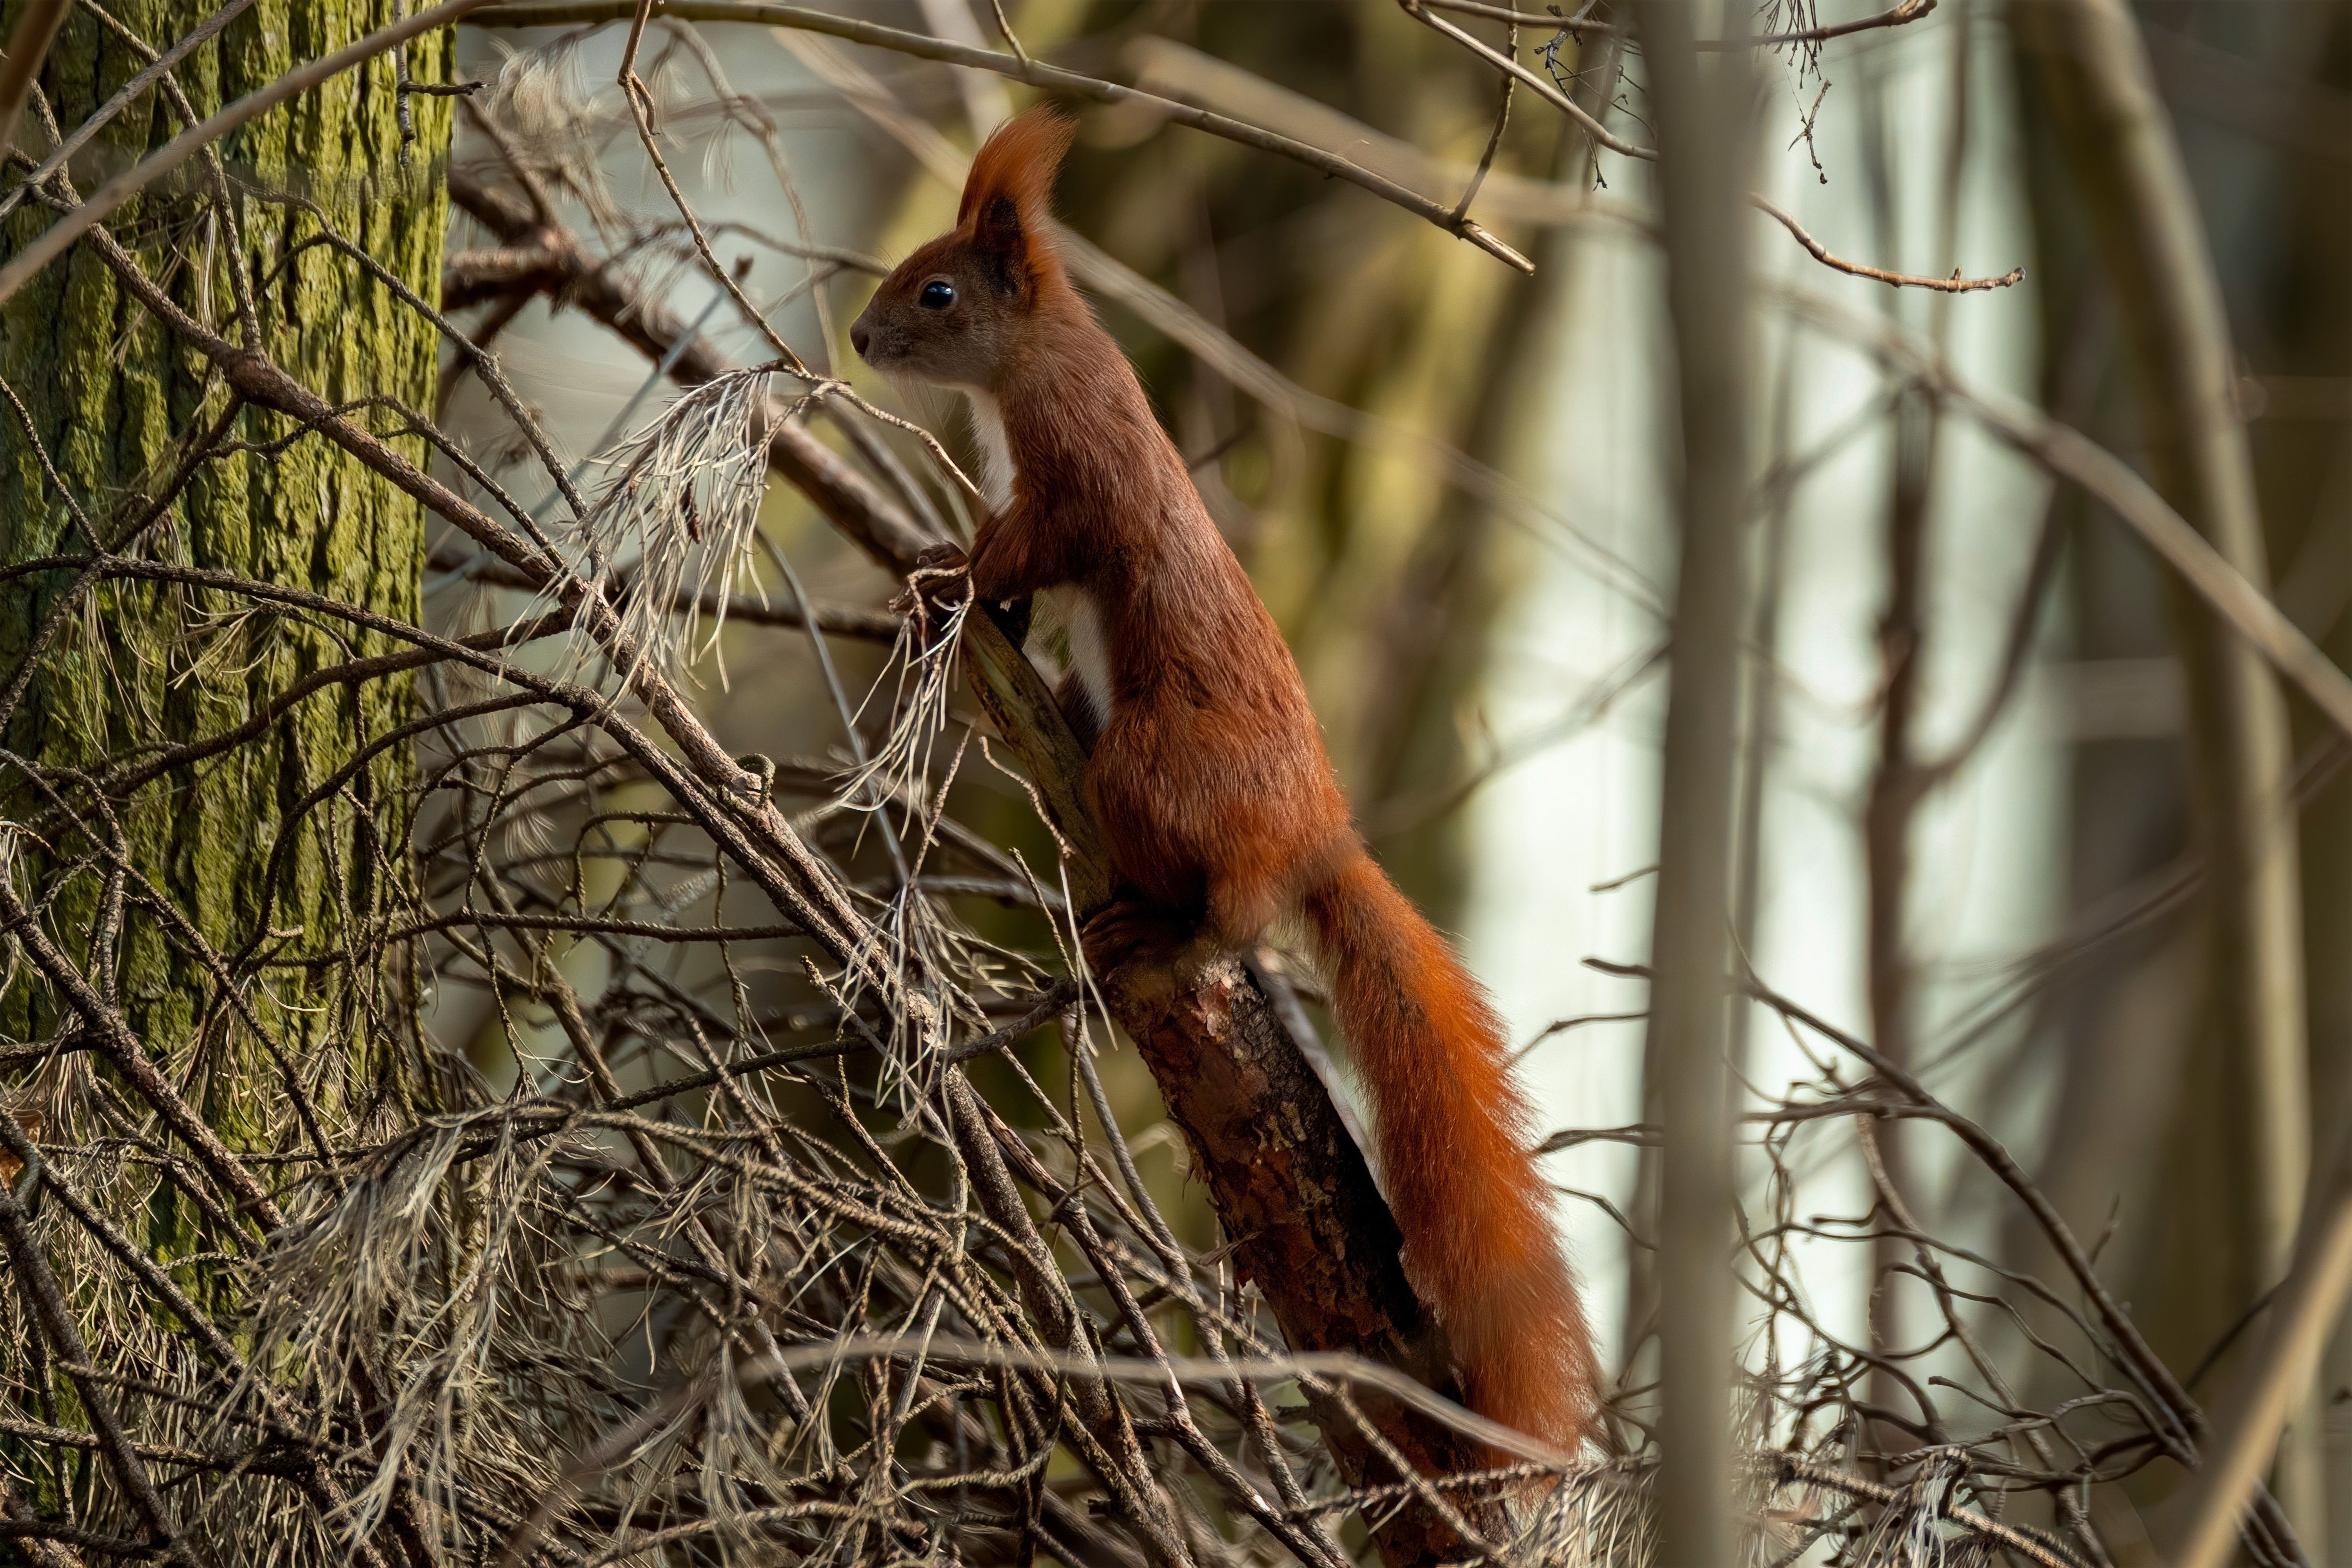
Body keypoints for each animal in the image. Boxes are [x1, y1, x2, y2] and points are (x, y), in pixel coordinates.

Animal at [850, 107, 1598, 1455]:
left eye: (937, 290)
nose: (860, 337)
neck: (1031, 363)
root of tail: (1317, 835)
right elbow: (1013, 587)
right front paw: (957, 595)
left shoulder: (1080, 474)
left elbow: (1034, 545)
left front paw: (944, 574)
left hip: (1155, 768)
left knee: (1234, 914)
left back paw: (1162, 927)